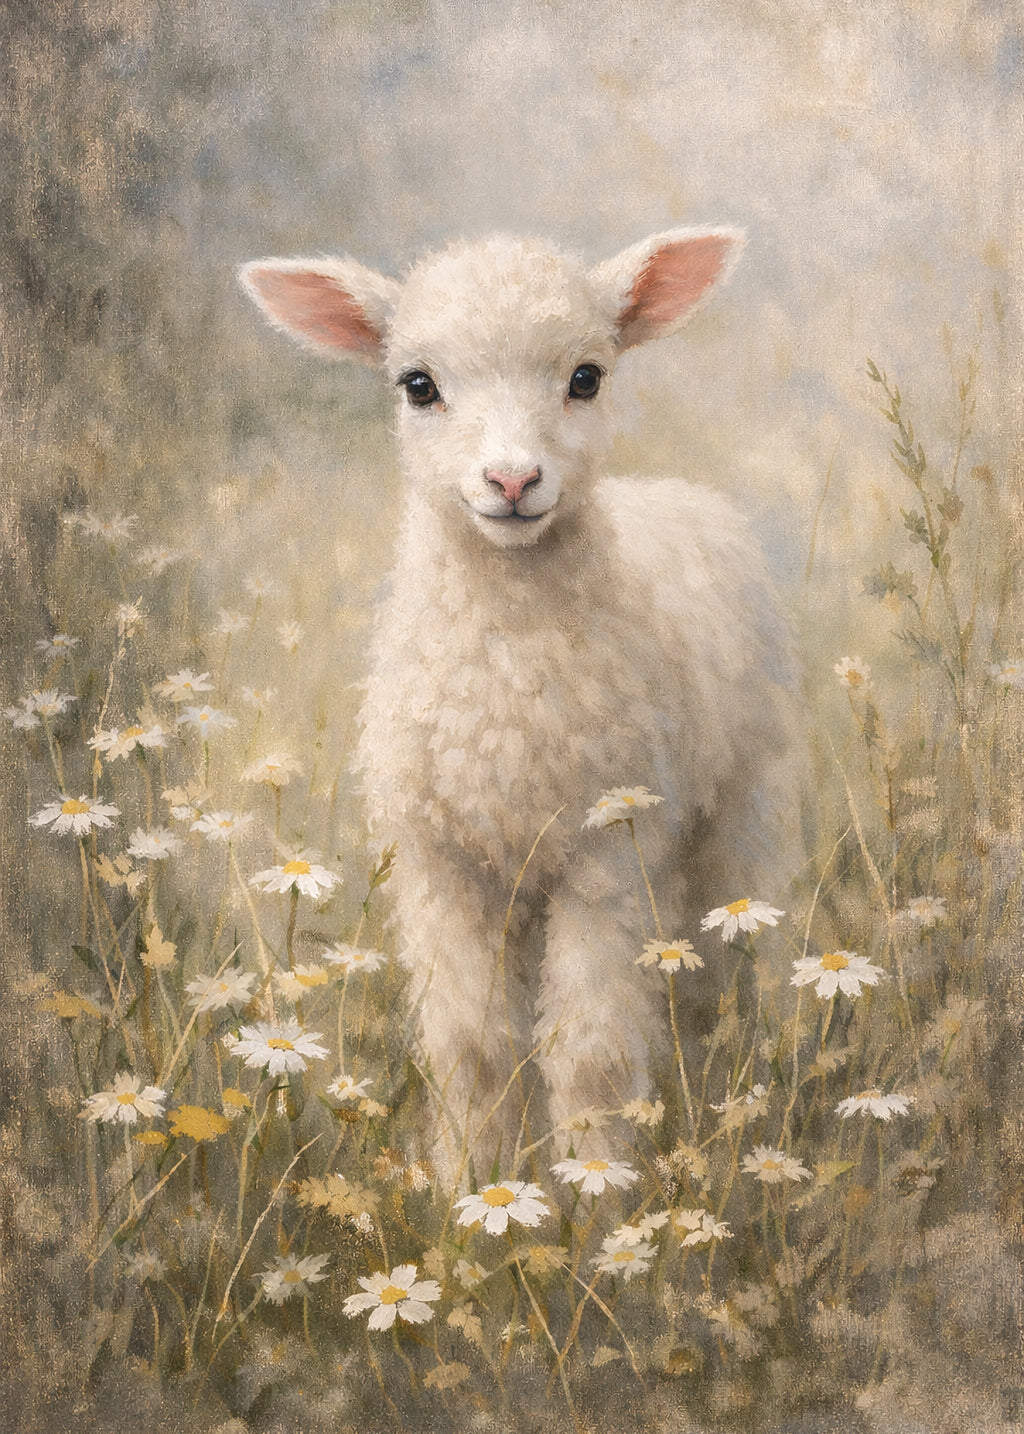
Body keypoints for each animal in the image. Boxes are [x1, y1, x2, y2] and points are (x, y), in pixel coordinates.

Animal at [239, 229, 800, 1182]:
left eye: (586, 377)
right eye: (417, 384)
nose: (511, 480)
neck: (505, 689)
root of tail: (673, 490)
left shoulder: (604, 855)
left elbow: (591, 1049)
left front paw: (596, 1190)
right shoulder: (439, 863)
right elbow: (472, 1046)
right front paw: (471, 1186)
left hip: (731, 807)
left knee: (723, 969)